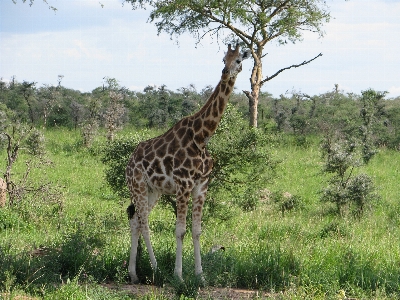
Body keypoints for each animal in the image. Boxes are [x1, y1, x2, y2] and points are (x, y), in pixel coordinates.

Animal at [125, 43, 250, 282]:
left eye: (238, 60)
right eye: (223, 59)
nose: (225, 72)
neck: (201, 137)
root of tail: (129, 161)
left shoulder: (201, 186)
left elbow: (197, 230)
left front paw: (200, 276)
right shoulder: (183, 185)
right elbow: (180, 231)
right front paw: (179, 276)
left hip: (153, 190)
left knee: (136, 220)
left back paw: (134, 274)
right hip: (137, 185)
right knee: (144, 222)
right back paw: (156, 268)